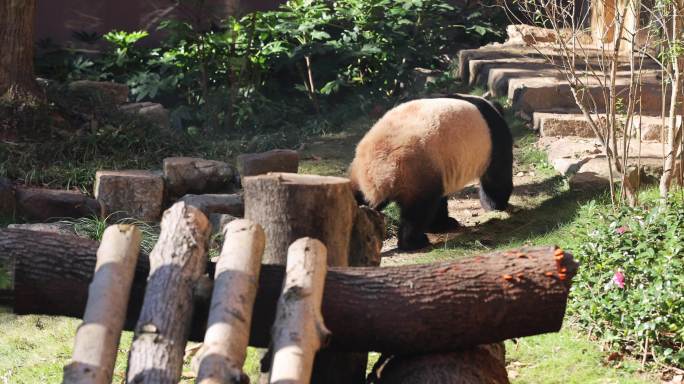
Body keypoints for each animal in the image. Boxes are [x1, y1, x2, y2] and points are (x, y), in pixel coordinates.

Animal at [350, 92, 510, 249]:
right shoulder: (494, 138)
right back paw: (414, 241)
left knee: (356, 196)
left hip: (365, 173)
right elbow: (496, 178)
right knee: (418, 211)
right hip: (413, 172)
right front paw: (495, 206)